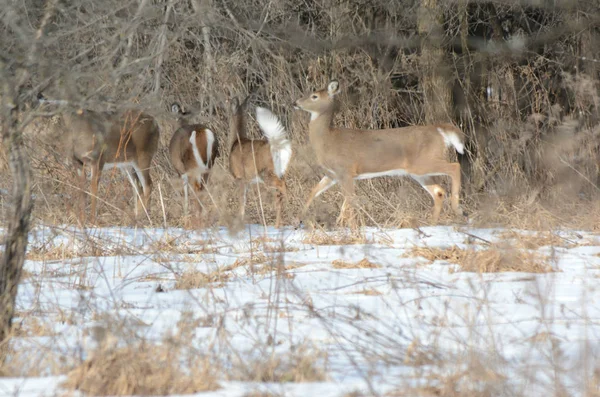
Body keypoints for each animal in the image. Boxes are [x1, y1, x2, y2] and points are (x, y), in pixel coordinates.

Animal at [229, 96, 292, 226]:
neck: (236, 141)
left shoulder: (240, 177)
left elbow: (241, 201)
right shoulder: (248, 181)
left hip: (267, 172)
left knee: (281, 187)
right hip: (282, 172)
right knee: (280, 193)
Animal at [292, 79, 466, 226]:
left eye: (314, 96)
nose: (295, 103)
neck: (328, 139)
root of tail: (439, 130)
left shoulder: (346, 170)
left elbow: (349, 200)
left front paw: (348, 225)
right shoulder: (333, 174)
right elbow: (313, 192)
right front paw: (298, 220)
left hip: (423, 162)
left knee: (455, 166)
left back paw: (457, 208)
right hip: (418, 171)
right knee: (438, 191)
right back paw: (432, 223)